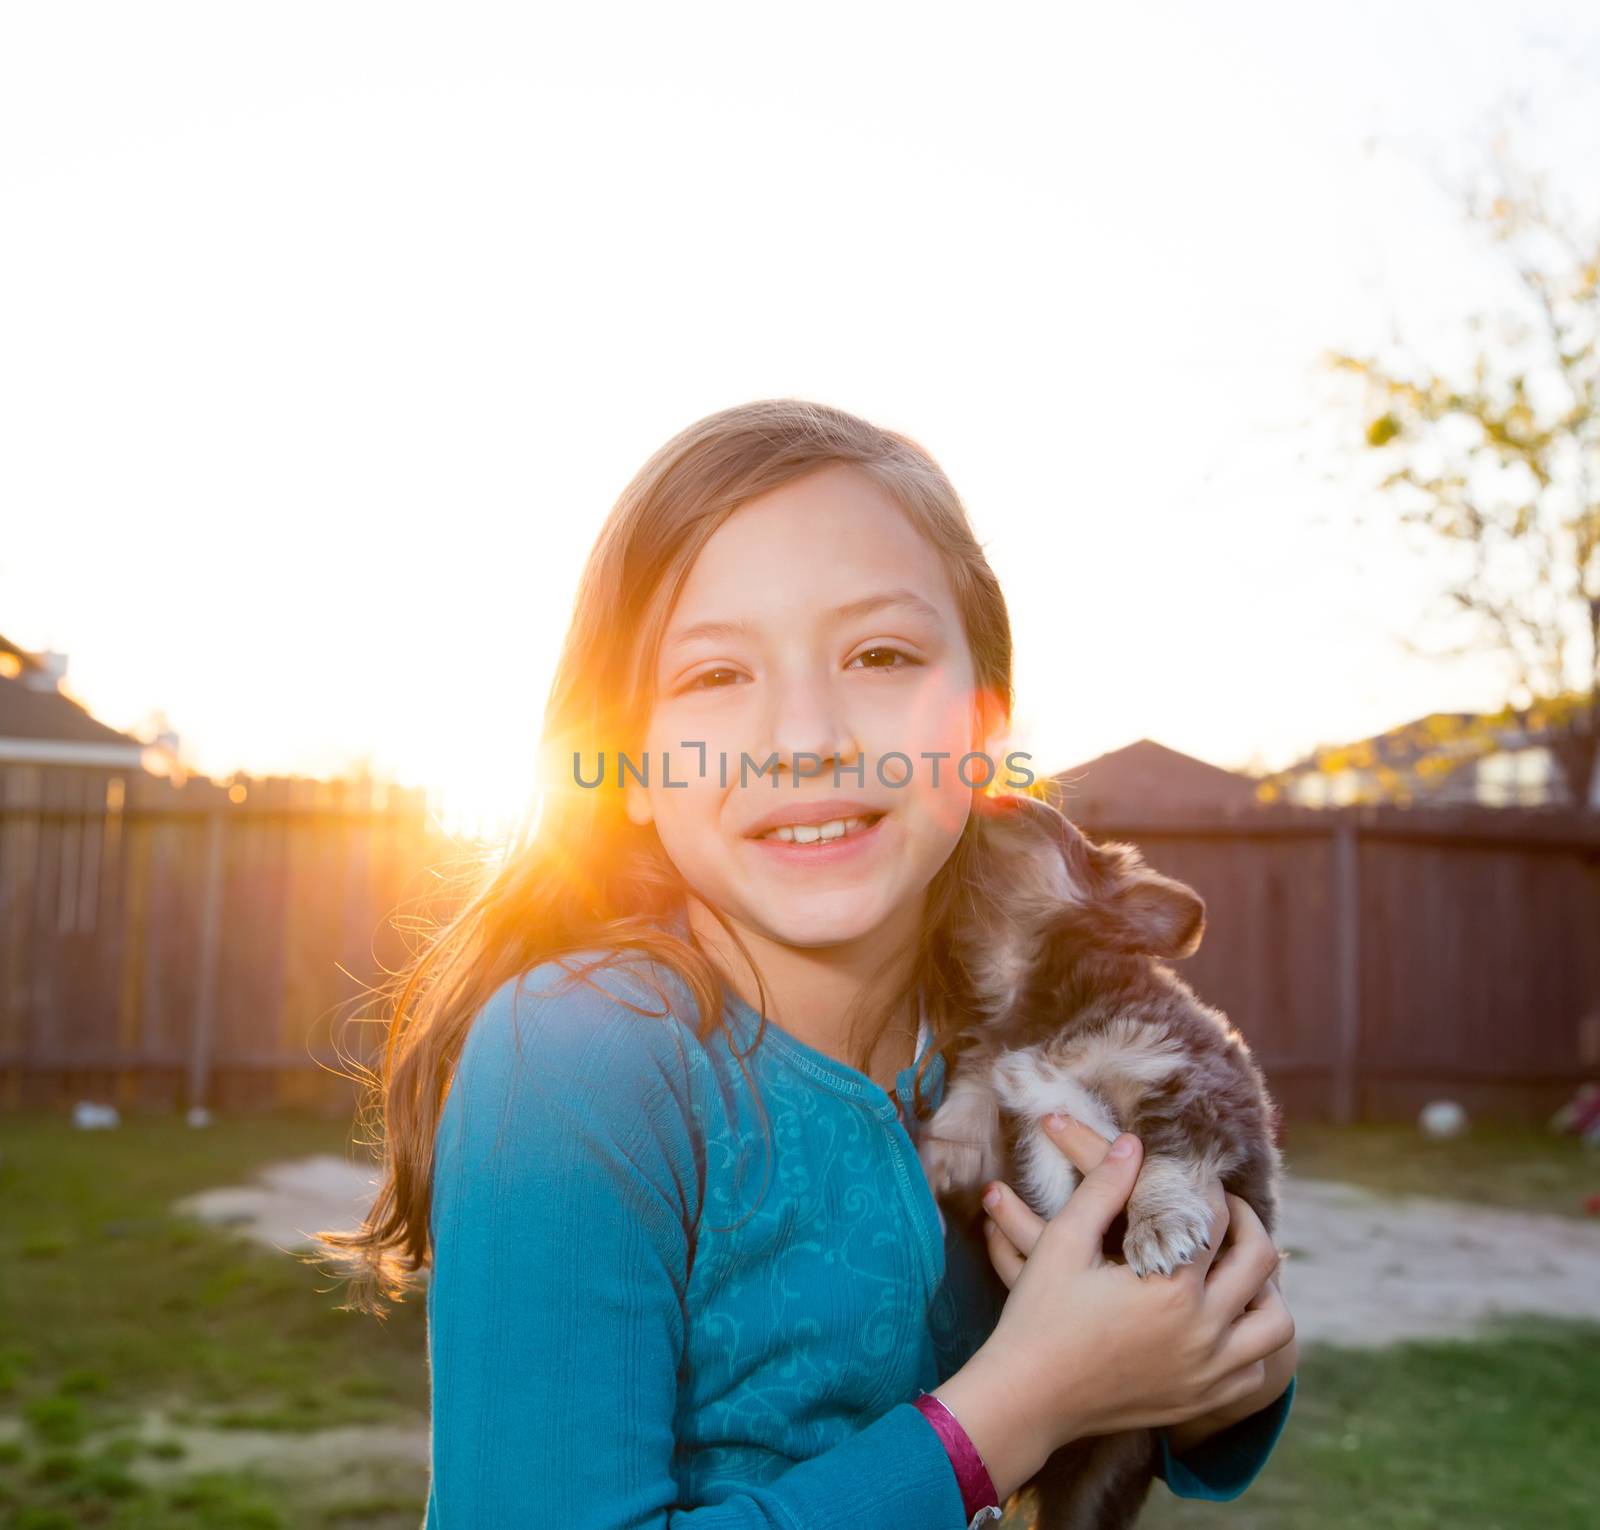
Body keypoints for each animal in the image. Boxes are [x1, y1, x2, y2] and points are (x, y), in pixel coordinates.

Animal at [921, 787, 1280, 1530]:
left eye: (1020, 810)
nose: (978, 789)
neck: (1029, 1005)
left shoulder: (1194, 1084)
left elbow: (1164, 1158)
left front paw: (1158, 1229)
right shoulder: (995, 1105)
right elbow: (956, 1124)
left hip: (1105, 1473)